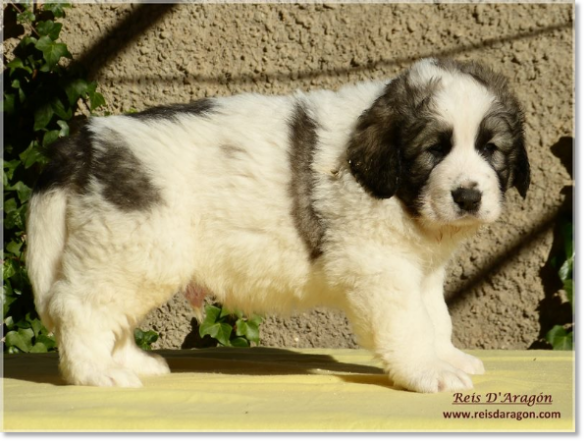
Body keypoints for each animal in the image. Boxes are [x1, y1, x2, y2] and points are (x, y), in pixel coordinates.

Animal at [25, 58, 528, 392]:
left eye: (491, 149)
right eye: (434, 150)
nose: (468, 196)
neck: (396, 191)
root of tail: (84, 144)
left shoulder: (422, 270)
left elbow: (436, 318)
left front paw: (448, 357)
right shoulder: (380, 270)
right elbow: (409, 324)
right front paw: (429, 372)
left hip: (130, 254)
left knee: (111, 313)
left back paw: (134, 362)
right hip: (135, 248)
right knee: (78, 306)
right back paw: (97, 373)